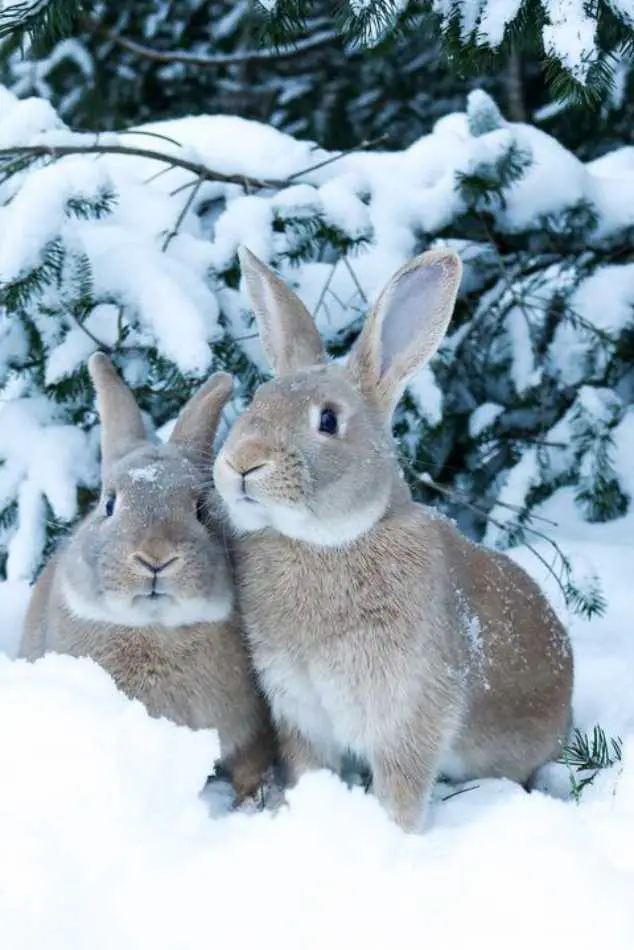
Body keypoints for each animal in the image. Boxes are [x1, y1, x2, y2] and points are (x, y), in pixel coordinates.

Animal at [19, 352, 276, 804]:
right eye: (108, 504)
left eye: (201, 510)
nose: (156, 558)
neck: (154, 630)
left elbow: (250, 761)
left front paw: (254, 798)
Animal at [212, 244, 572, 832]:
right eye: (255, 401)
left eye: (328, 420)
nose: (242, 463)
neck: (328, 544)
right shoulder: (301, 714)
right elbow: (311, 769)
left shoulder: (408, 715)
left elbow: (401, 790)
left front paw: (393, 835)